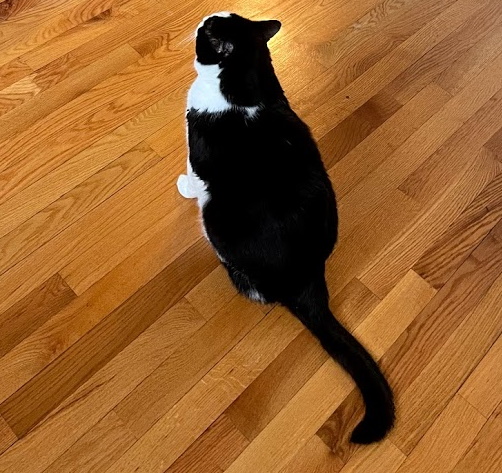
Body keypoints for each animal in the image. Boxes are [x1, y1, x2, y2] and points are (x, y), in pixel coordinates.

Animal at [178, 12, 394, 442]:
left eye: (208, 31)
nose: (200, 19)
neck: (246, 85)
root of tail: (308, 283)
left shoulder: (198, 149)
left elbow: (193, 176)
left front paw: (182, 186)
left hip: (218, 220)